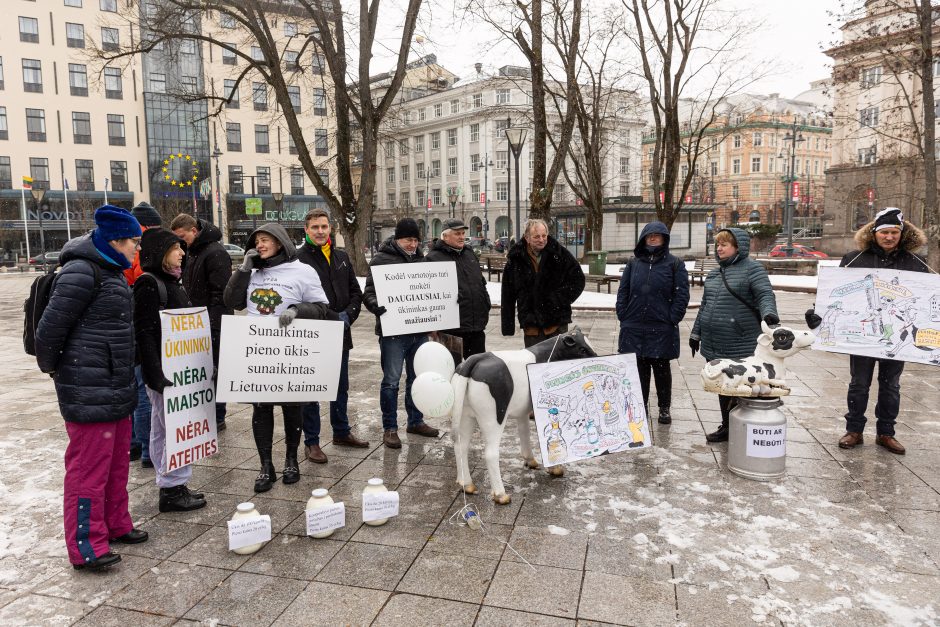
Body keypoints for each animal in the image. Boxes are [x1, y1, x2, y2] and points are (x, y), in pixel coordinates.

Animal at [450, 328, 596, 506]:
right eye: (582, 349)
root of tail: (473, 360)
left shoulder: (523, 411)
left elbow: (524, 431)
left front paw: (530, 461)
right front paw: (555, 468)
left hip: (465, 414)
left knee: (460, 445)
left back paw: (466, 484)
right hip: (493, 417)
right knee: (491, 453)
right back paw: (501, 495)